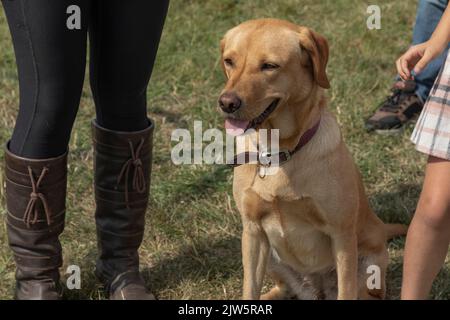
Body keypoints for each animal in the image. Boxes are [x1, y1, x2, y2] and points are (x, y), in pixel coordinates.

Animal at [218, 18, 408, 300]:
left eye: (269, 66)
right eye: (229, 61)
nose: (226, 103)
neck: (277, 152)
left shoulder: (341, 235)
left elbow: (346, 292)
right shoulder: (252, 231)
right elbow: (249, 290)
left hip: (368, 264)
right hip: (271, 257)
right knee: (283, 289)